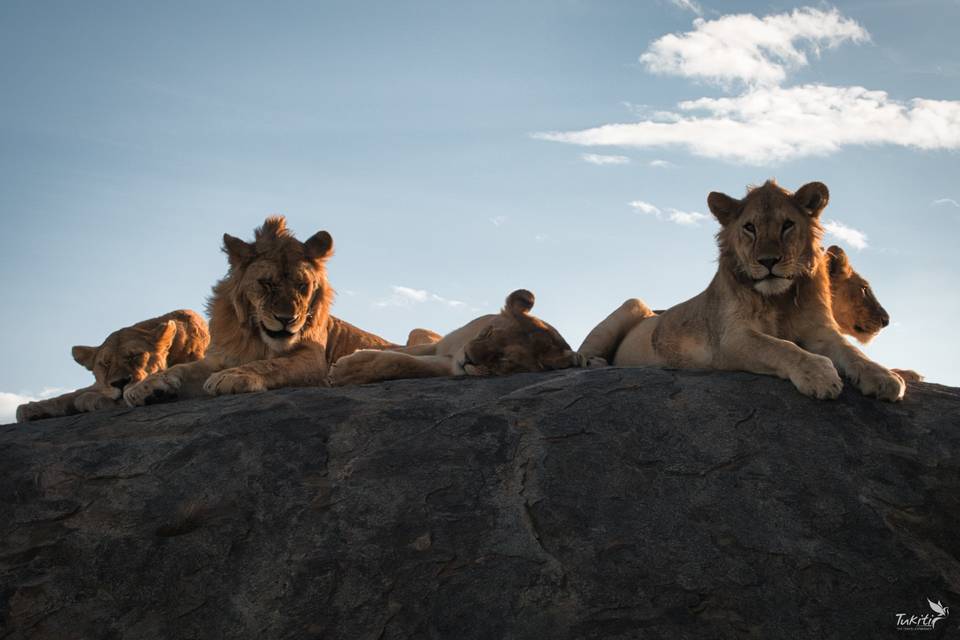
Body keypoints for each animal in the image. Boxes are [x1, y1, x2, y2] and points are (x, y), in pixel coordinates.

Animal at [15, 308, 211, 422]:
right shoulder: (100, 384)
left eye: (135, 356)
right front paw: (31, 408)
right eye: (106, 363)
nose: (120, 383)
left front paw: (88, 401)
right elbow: (68, 395)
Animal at [124, 215, 394, 404]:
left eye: (302, 286)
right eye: (266, 283)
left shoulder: (315, 361)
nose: (287, 319)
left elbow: (272, 364)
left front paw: (232, 377)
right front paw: (144, 387)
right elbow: (181, 368)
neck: (259, 338)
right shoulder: (221, 357)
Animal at [576, 180, 908, 400]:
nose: (768, 261)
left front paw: (885, 377)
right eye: (750, 228)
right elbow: (780, 347)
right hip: (633, 303)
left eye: (788, 225)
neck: (780, 298)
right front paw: (819, 375)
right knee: (582, 353)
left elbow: (852, 351)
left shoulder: (820, 332)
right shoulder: (731, 339)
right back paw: (592, 362)